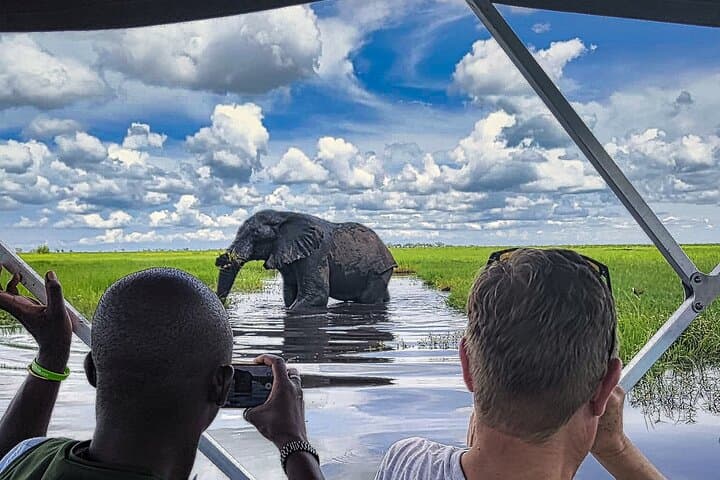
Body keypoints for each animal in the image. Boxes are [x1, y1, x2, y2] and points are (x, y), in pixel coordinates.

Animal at [215, 210, 397, 311]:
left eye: (256, 235)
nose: (225, 306)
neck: (283, 216)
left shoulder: (315, 254)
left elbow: (317, 295)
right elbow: (289, 294)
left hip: (378, 271)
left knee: (367, 299)